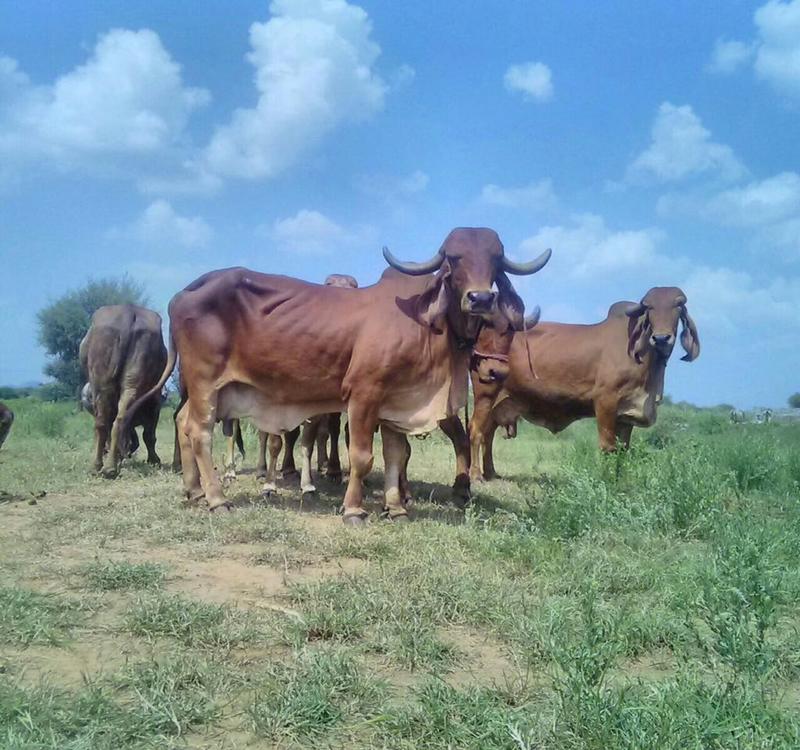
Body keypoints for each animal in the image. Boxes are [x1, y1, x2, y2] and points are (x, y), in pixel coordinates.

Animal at [79, 305, 168, 477]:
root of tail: (128, 310)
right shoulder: (155, 403)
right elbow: (148, 434)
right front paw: (153, 460)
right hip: (126, 381)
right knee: (113, 421)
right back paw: (107, 467)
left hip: (102, 381)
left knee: (106, 423)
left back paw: (101, 466)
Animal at [128, 227, 550, 524]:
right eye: (454, 260)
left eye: (495, 261)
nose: (480, 298)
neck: (429, 328)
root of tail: (184, 291)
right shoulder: (364, 394)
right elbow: (362, 457)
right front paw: (354, 510)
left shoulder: (396, 401)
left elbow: (396, 455)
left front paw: (397, 508)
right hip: (205, 383)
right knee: (198, 432)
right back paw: (216, 499)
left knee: (183, 424)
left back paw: (193, 491)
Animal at [472, 287, 699, 480]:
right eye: (649, 307)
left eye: (678, 305)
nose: (661, 338)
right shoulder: (605, 402)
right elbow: (608, 448)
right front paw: (606, 481)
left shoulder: (625, 417)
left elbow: (622, 451)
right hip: (485, 392)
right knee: (477, 429)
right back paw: (477, 475)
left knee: (488, 433)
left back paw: (490, 472)